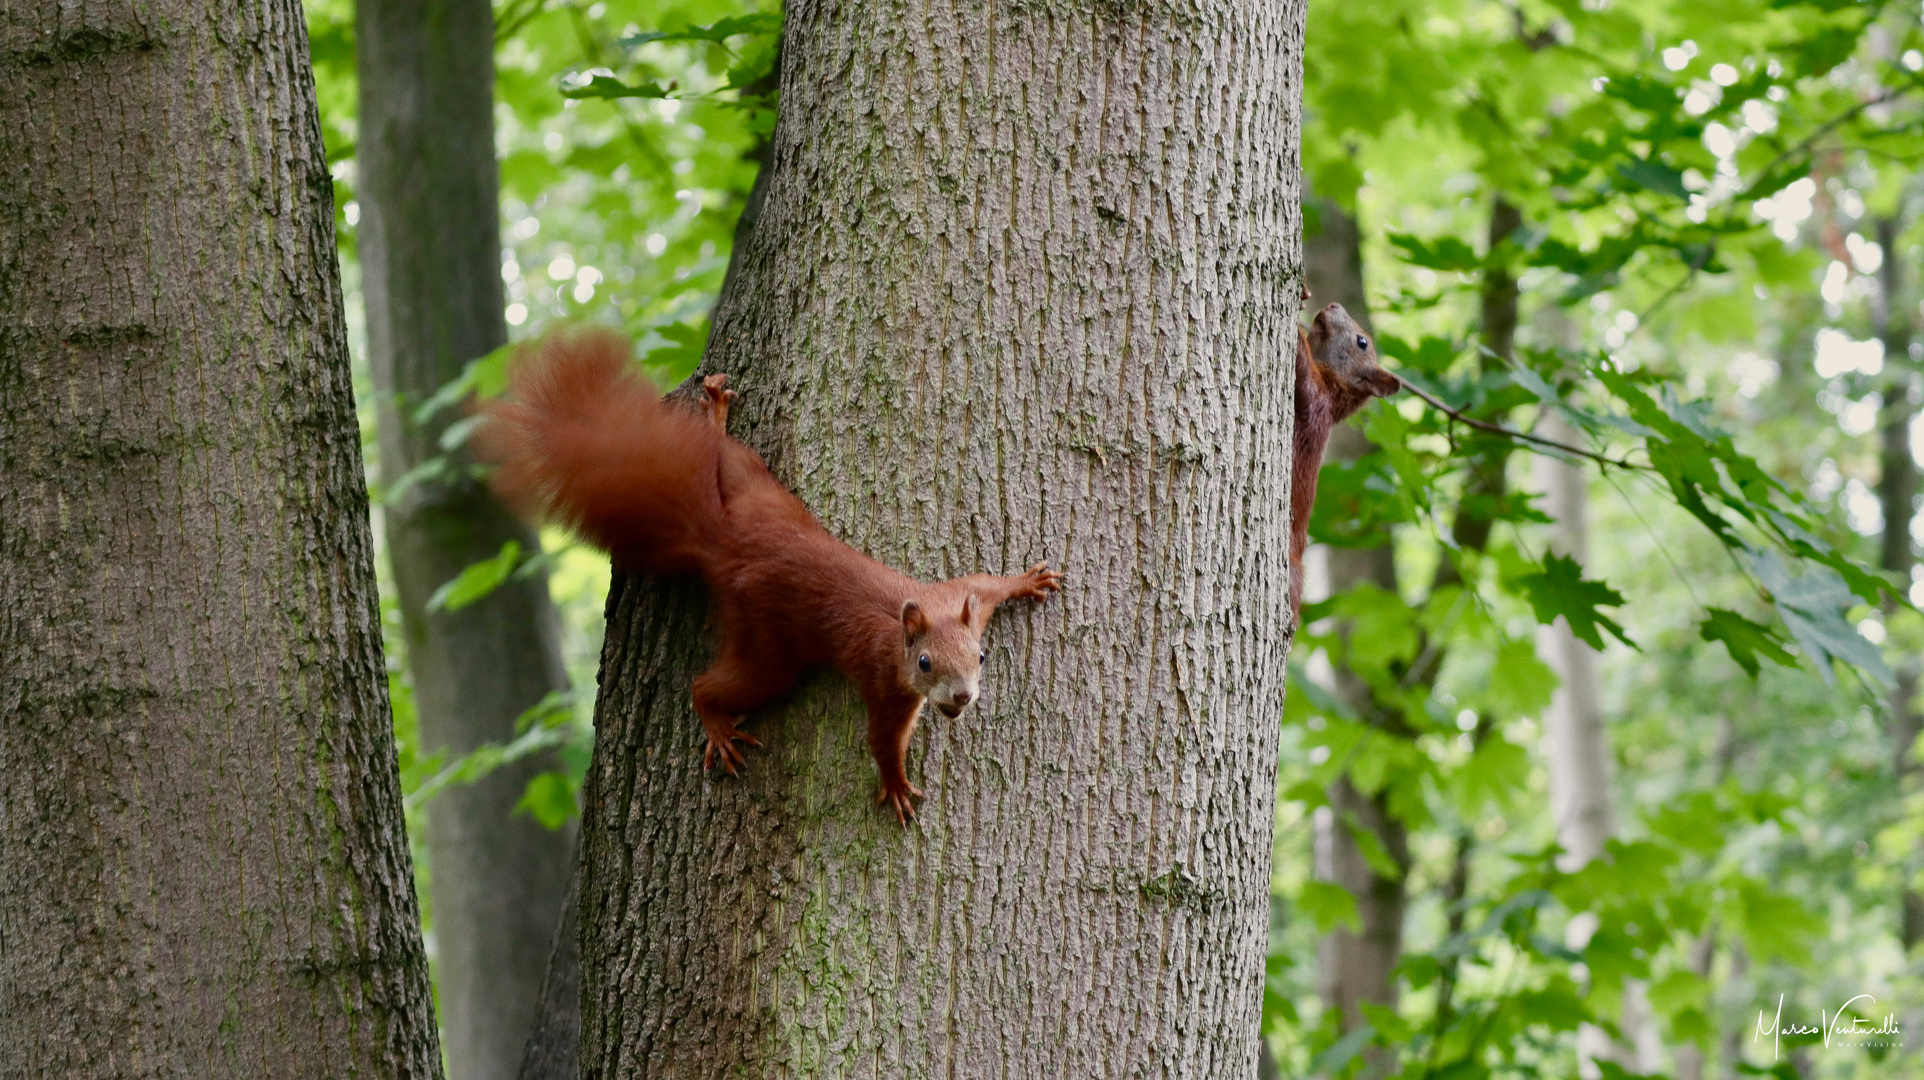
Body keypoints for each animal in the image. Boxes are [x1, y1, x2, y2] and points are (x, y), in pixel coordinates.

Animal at [471, 327, 1062, 816]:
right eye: (923, 663)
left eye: (980, 656)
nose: (961, 698)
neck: (910, 625)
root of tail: (727, 545)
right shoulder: (883, 682)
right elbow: (880, 741)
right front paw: (894, 784)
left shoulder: (957, 597)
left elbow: (986, 582)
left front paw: (1029, 581)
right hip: (768, 644)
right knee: (710, 683)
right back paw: (715, 723)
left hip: (758, 489)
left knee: (725, 454)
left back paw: (715, 412)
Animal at [1285, 290, 1408, 627]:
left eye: (1361, 342)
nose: (1333, 305)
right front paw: (1303, 297)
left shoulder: (1319, 403)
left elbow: (1306, 381)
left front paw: (1298, 332)